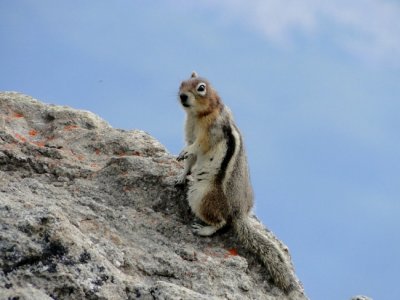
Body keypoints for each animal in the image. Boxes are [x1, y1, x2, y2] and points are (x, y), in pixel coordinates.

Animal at [177, 71, 304, 296]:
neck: (198, 115)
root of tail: (238, 213)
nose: (183, 96)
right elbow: (190, 161)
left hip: (200, 196)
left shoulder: (210, 133)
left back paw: (203, 229)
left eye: (201, 88)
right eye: (182, 83)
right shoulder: (189, 133)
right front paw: (181, 175)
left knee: (221, 222)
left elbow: (196, 147)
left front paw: (185, 155)